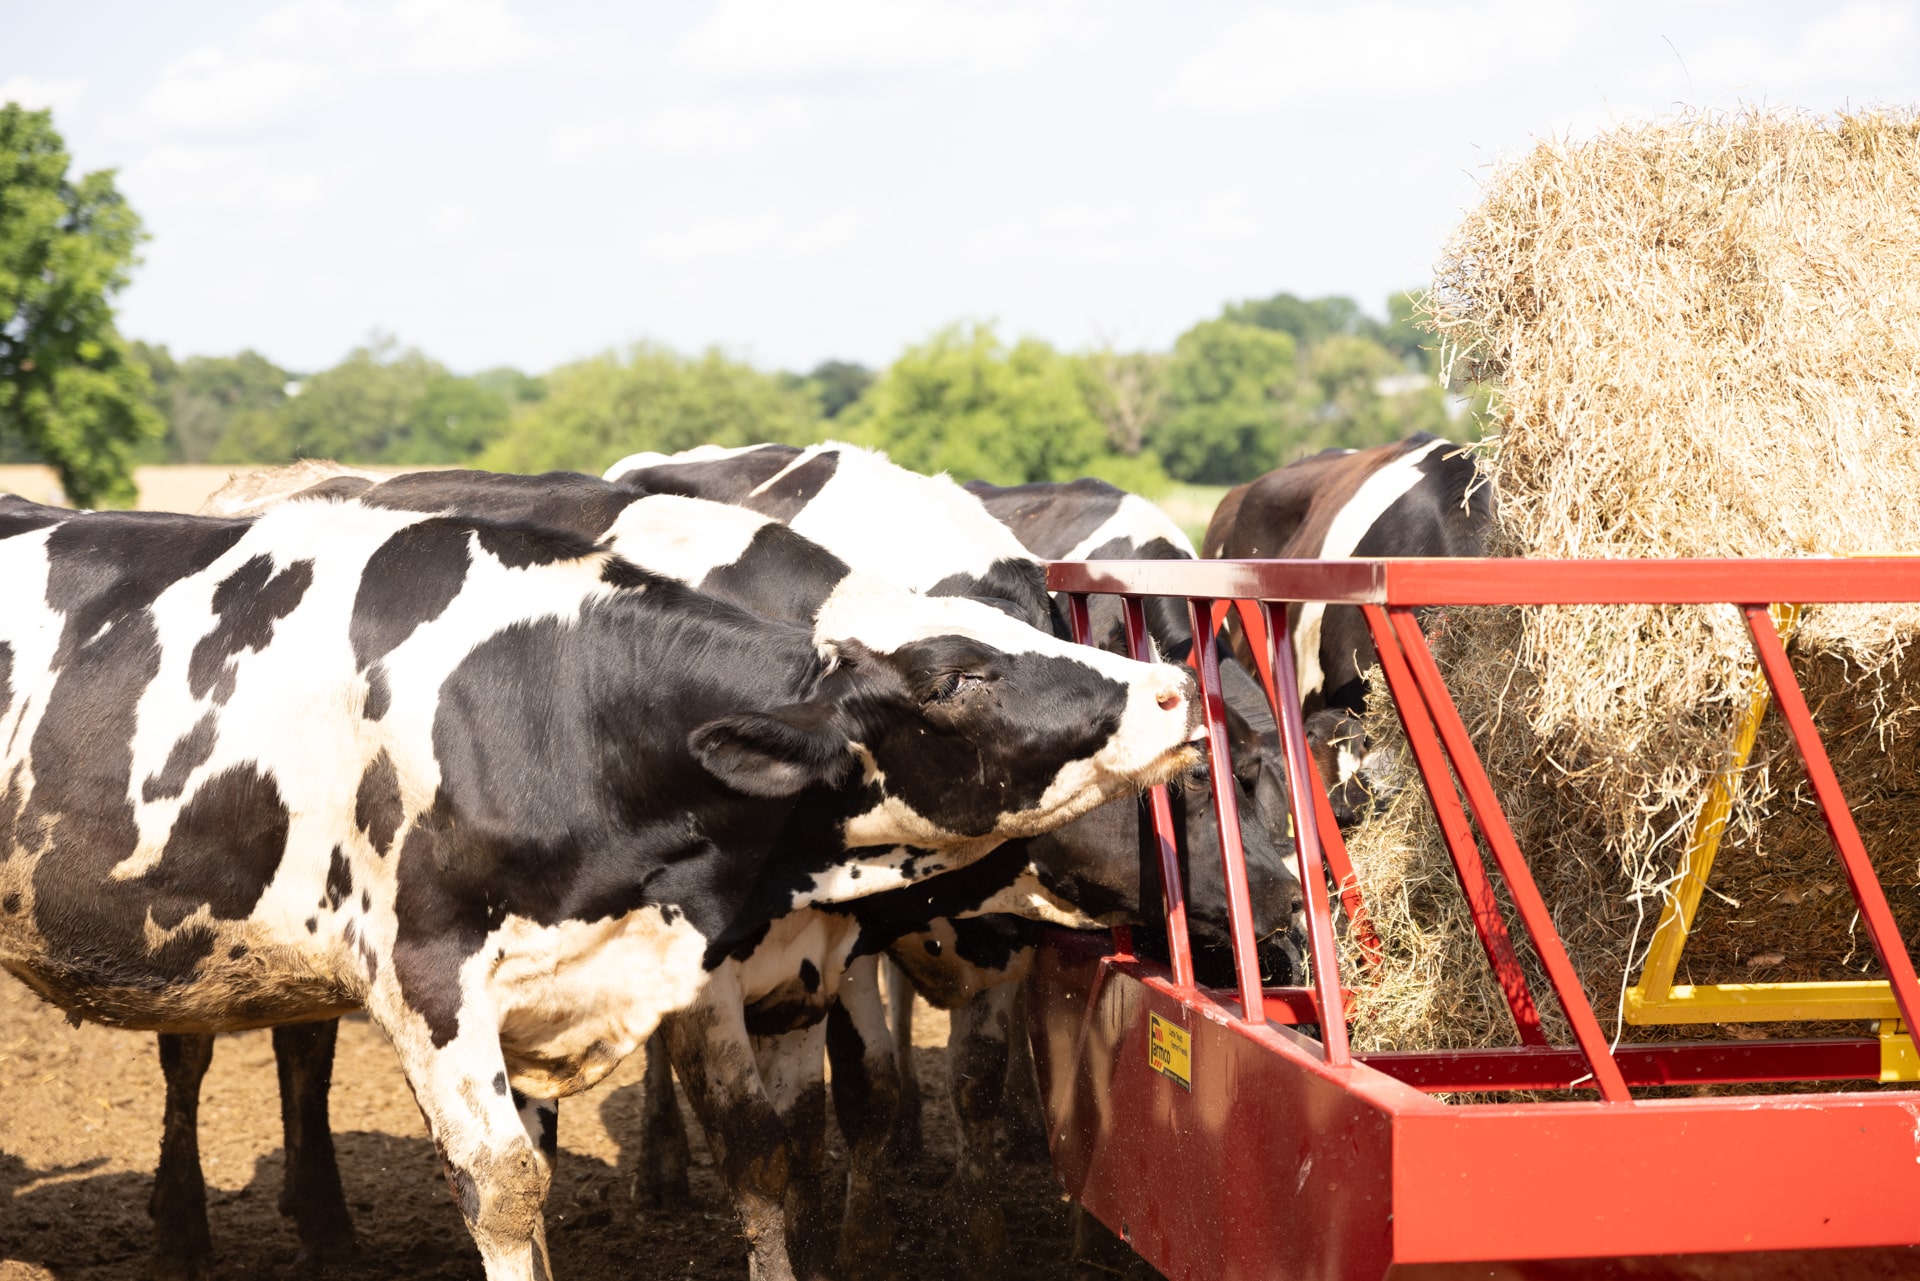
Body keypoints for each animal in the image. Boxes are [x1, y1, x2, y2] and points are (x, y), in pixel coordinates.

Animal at [0, 491, 1204, 1281]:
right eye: (958, 677)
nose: (1170, 692)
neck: (552, 704)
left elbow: (763, 1155)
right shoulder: (428, 976)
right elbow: (504, 1184)